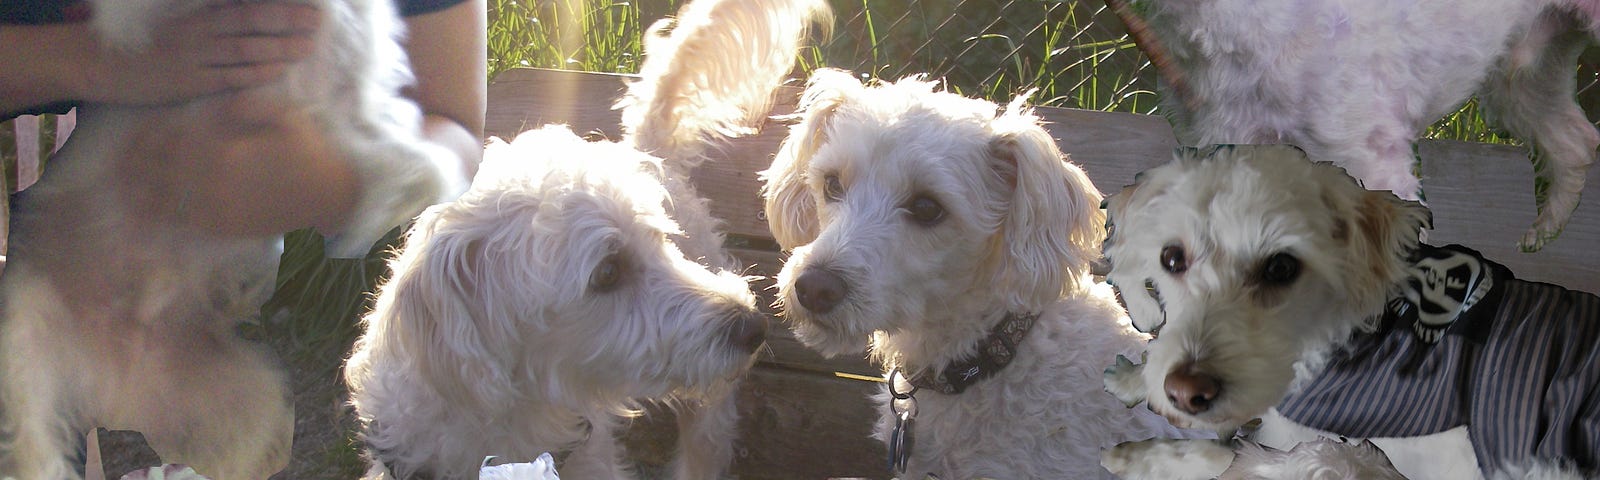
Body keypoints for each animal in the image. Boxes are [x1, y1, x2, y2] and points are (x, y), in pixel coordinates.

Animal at [0, 0, 467, 480]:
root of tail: (111, 384)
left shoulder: (351, 101)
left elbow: (410, 163)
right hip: (19, 331)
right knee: (29, 438)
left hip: (249, 403)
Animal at [1100, 145, 1600, 480]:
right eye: (1171, 258)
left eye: (1281, 267)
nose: (1187, 393)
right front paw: (1134, 381)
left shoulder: (1323, 453)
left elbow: (1226, 454)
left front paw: (1139, 458)